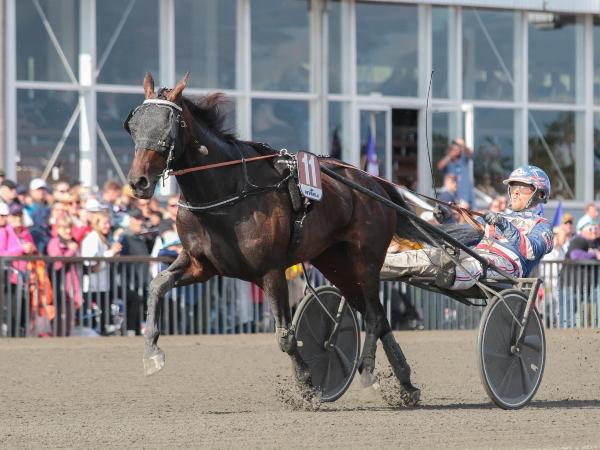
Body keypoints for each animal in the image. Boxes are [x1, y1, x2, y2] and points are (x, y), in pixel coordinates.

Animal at [125, 72, 465, 406]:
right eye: (135, 124)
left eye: (167, 127)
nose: (138, 181)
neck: (227, 193)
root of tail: (372, 182)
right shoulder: (201, 265)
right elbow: (156, 285)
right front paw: (152, 353)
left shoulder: (271, 270)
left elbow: (286, 335)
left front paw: (307, 384)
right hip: (336, 263)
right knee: (379, 315)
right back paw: (406, 384)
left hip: (365, 257)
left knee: (372, 314)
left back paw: (369, 373)